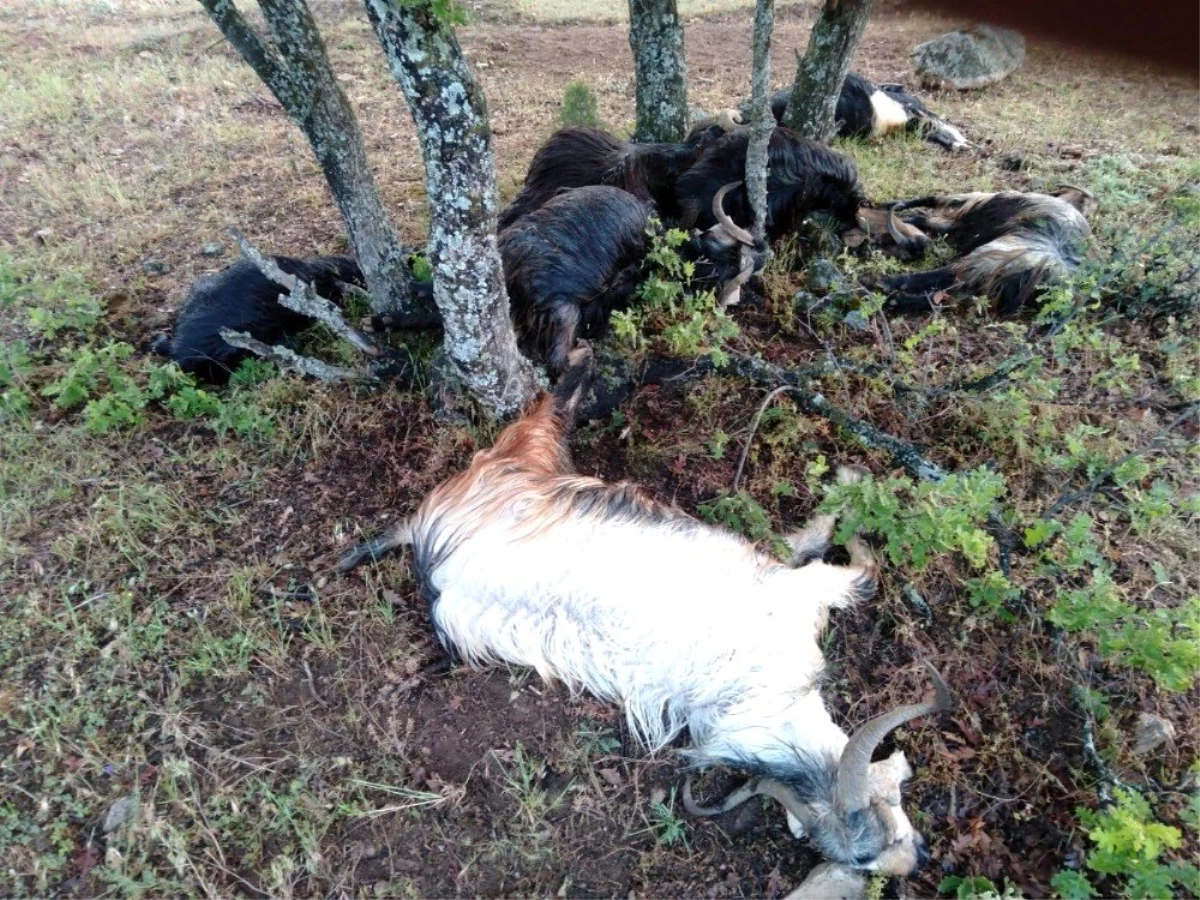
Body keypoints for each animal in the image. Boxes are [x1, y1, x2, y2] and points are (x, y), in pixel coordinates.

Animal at [343, 348, 950, 878]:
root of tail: (434, 547)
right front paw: (852, 485)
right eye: (869, 854)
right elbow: (854, 564)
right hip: (521, 463)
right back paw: (583, 362)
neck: (763, 698)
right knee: (542, 414)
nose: (919, 861)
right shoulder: (799, 590)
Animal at [873, 183, 1099, 314]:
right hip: (987, 275)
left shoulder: (973, 205)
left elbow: (931, 202)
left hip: (988, 259)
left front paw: (892, 206)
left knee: (942, 278)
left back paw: (885, 289)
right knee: (946, 294)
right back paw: (895, 300)